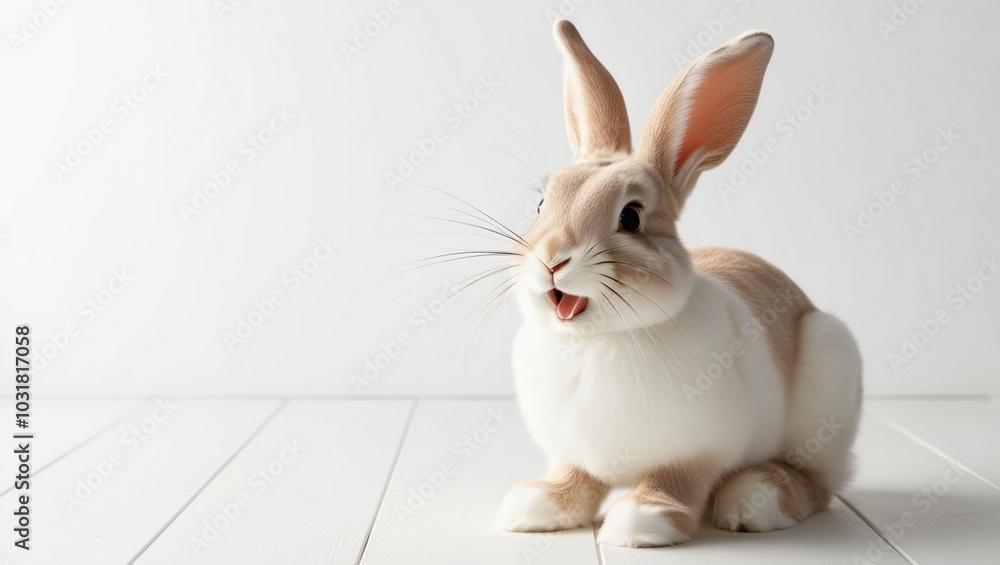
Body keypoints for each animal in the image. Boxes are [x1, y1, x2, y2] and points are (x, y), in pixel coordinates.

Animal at [495, 20, 863, 548]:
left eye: (630, 217)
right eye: (542, 203)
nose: (552, 259)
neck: (598, 341)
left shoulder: (697, 449)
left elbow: (676, 481)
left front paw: (641, 520)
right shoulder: (573, 453)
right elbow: (574, 477)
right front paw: (538, 505)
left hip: (828, 378)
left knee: (818, 484)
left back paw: (756, 498)